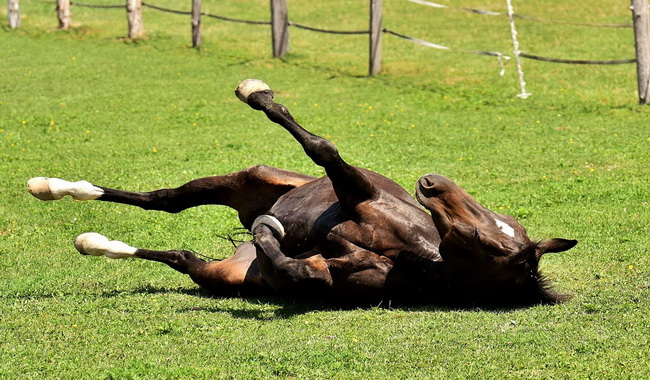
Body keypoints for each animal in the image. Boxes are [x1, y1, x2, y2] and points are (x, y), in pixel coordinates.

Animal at [25, 79, 576, 306]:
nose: (432, 183)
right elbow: (324, 148)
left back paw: (90, 238)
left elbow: (297, 269)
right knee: (167, 199)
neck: (409, 252)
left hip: (221, 272)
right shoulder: (356, 191)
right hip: (251, 178)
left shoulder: (326, 277)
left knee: (180, 250)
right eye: (495, 220)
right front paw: (259, 94)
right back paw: (53, 187)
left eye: (483, 240)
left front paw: (275, 235)